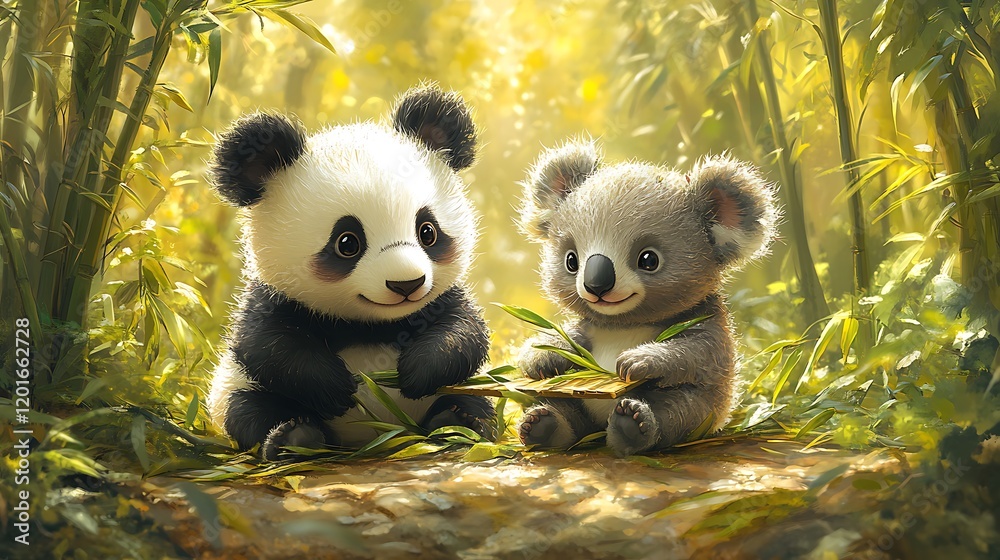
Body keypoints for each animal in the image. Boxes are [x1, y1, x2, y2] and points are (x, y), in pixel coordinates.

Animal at [206, 85, 495, 460]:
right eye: (347, 243)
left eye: (427, 232)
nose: (407, 284)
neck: (370, 325)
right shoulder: (274, 298)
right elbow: (266, 345)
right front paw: (338, 388)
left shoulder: (443, 300)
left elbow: (465, 332)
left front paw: (416, 373)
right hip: (236, 388)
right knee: (249, 409)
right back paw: (296, 438)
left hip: (475, 386)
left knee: (474, 400)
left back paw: (455, 423)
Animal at [514, 140, 779, 456]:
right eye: (571, 260)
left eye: (649, 260)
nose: (596, 285)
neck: (624, 324)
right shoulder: (589, 327)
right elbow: (561, 339)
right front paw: (543, 356)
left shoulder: (706, 326)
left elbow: (695, 352)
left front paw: (637, 360)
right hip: (576, 401)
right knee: (565, 408)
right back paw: (543, 425)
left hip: (701, 413)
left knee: (676, 413)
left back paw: (632, 427)